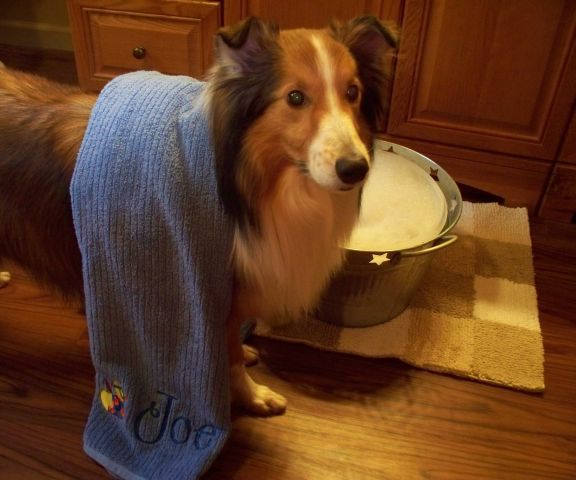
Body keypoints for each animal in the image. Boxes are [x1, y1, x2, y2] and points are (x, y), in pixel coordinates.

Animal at [0, 16, 397, 416]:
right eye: (295, 97)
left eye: (352, 92)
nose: (355, 169)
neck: (251, 183)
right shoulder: (215, 296)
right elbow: (230, 356)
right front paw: (253, 396)